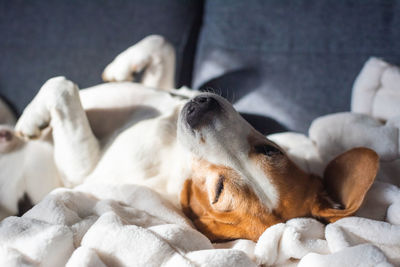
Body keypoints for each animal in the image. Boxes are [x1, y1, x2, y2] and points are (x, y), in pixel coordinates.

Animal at [0, 35, 378, 243]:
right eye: (270, 149)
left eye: (218, 191)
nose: (201, 109)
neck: (176, 154)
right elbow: (162, 45)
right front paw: (123, 67)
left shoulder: (80, 168)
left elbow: (62, 86)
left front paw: (31, 120)